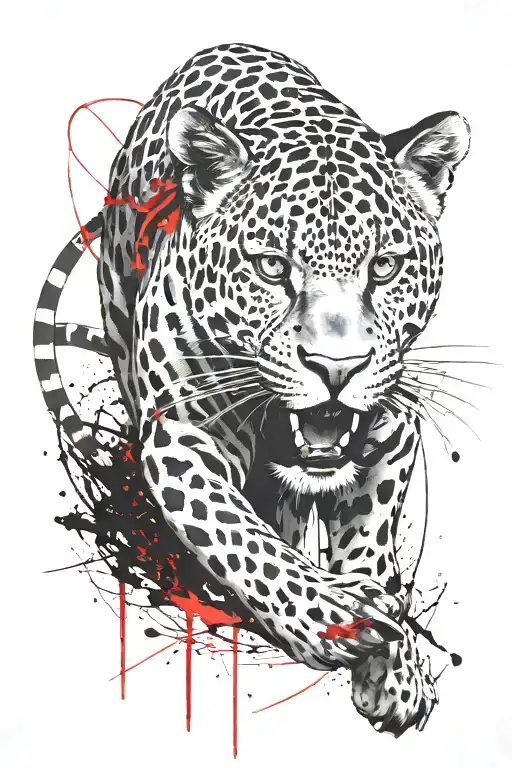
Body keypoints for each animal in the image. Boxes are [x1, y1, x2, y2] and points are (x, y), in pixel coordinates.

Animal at [34, 42, 470, 736]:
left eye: (384, 267)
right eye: (271, 267)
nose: (337, 368)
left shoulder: (393, 426)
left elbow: (371, 545)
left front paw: (394, 667)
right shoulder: (180, 437)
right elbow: (238, 536)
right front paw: (332, 617)